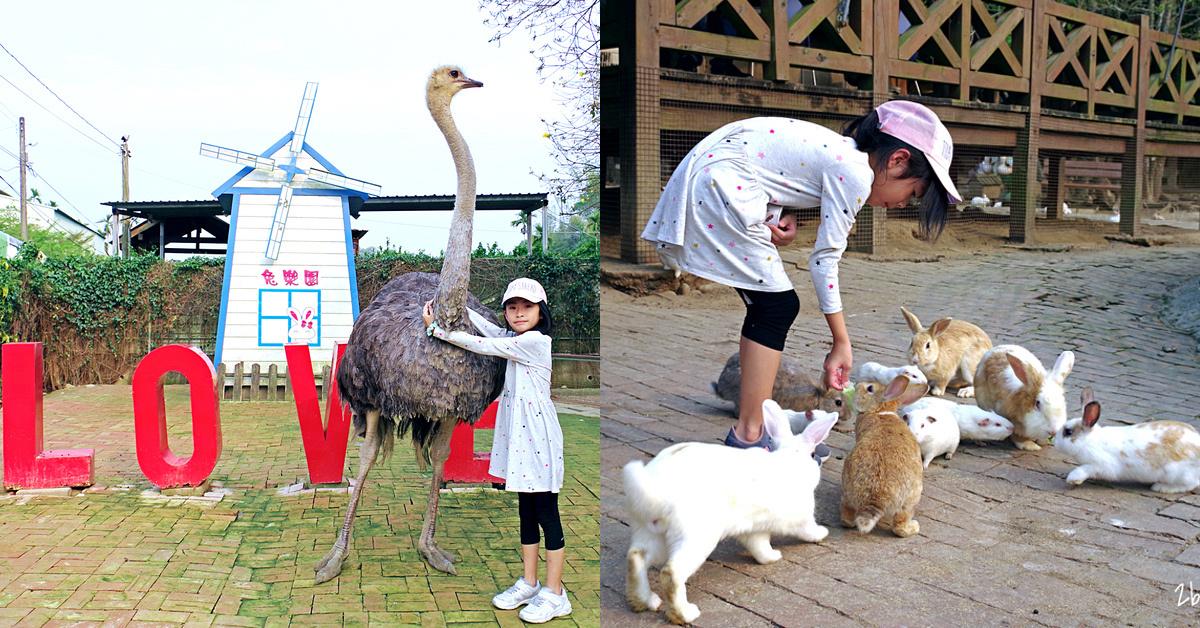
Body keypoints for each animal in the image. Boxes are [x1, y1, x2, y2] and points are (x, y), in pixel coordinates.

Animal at [624, 403, 840, 624]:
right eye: (812, 454)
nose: (817, 460)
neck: (790, 459)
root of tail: (655, 491)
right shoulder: (800, 518)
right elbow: (807, 530)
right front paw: (821, 534)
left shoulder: (753, 527)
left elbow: (760, 547)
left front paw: (771, 557)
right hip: (694, 538)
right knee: (671, 573)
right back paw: (686, 613)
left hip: (652, 535)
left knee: (636, 559)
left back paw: (644, 601)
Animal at [844, 377, 926, 537]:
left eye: (870, 388)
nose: (858, 385)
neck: (880, 411)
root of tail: (876, 495)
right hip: (909, 501)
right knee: (899, 528)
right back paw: (914, 526)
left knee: (847, 519)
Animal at [1056, 391, 1195, 494]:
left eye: (1068, 432)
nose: (1055, 443)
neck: (1089, 440)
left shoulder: (1101, 465)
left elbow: (1084, 470)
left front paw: (1073, 479)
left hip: (1176, 473)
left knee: (1190, 484)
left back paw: (1161, 487)